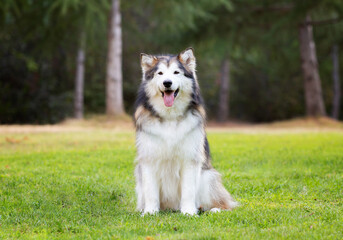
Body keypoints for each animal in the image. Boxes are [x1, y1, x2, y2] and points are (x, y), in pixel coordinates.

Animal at [133, 47, 238, 216]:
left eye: (176, 72)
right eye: (160, 73)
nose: (167, 83)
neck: (169, 117)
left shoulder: (189, 159)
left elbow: (188, 190)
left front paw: (188, 212)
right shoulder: (149, 159)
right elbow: (151, 192)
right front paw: (150, 212)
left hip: (207, 176)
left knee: (223, 203)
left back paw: (213, 209)